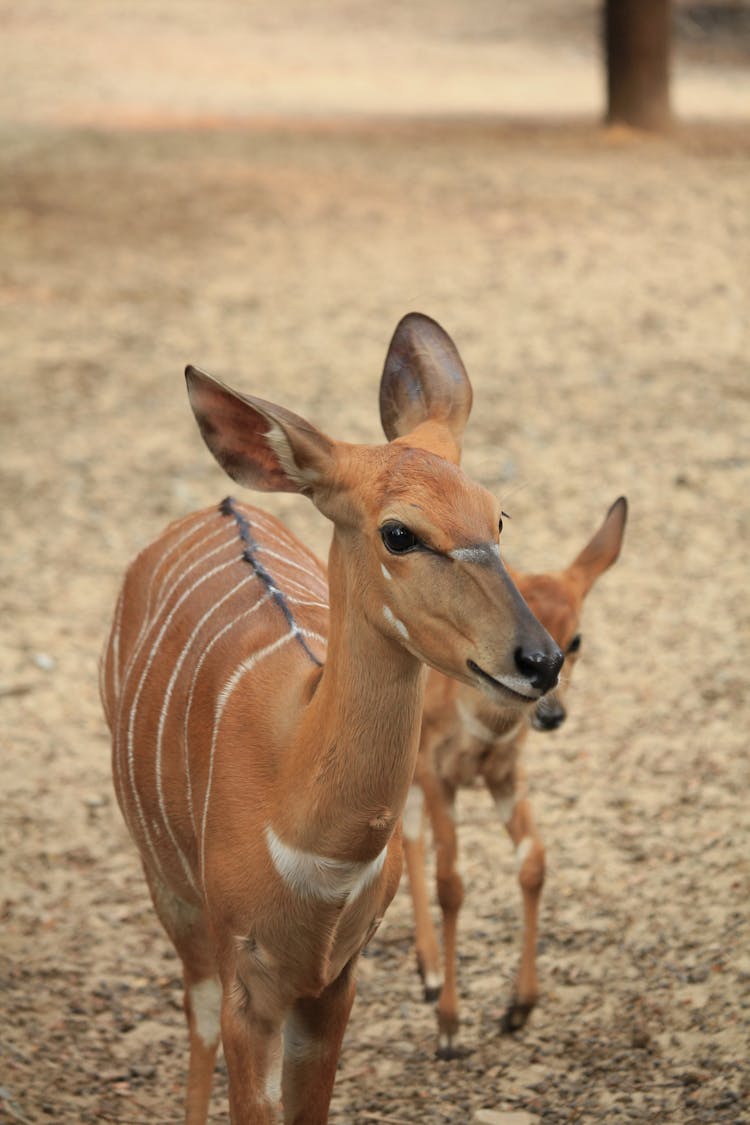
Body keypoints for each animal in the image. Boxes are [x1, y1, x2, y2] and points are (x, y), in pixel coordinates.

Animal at [404, 497, 629, 1057]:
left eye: (575, 637)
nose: (551, 714)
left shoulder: (505, 774)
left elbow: (534, 862)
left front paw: (519, 1008)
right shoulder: (436, 771)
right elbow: (451, 883)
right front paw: (449, 1027)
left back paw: (428, 971)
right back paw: (431, 974)